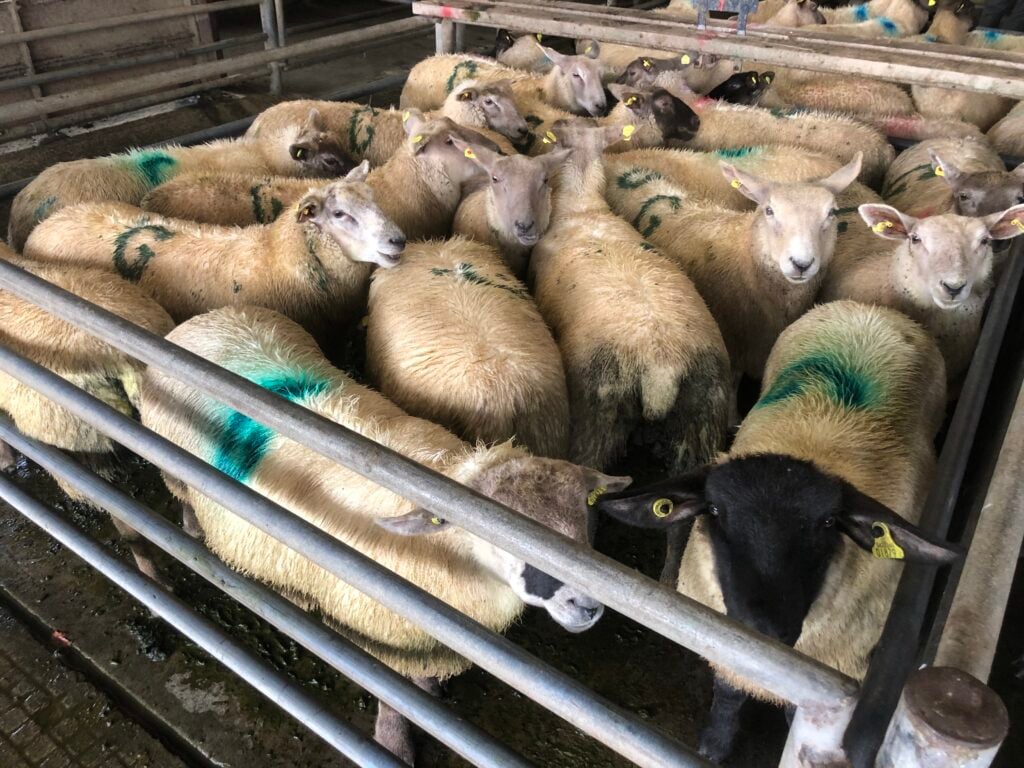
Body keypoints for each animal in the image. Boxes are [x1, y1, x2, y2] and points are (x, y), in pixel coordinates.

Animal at [139, 303, 631, 764]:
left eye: (584, 520)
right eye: (502, 535)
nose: (587, 607)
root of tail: (208, 318)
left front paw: (429, 693)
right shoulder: (376, 630)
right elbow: (393, 697)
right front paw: (395, 742)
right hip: (175, 469)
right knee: (186, 499)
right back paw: (192, 535)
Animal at [595, 300, 958, 762]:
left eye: (828, 523)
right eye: (715, 510)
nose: (762, 627)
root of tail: (870, 309)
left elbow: (796, 713)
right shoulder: (730, 648)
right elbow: (729, 695)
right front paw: (714, 746)